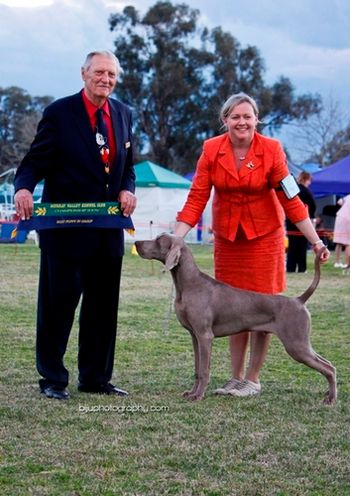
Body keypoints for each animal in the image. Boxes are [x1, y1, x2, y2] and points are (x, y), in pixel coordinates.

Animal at [135, 232, 336, 404]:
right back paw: (328, 393)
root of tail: (299, 300)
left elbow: (204, 370)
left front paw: (198, 395)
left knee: (329, 368)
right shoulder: (194, 336)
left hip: (296, 344)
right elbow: (197, 369)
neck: (189, 284)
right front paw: (191, 392)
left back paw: (331, 399)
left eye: (159, 240)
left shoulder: (205, 336)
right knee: (329, 364)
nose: (136, 242)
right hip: (300, 344)